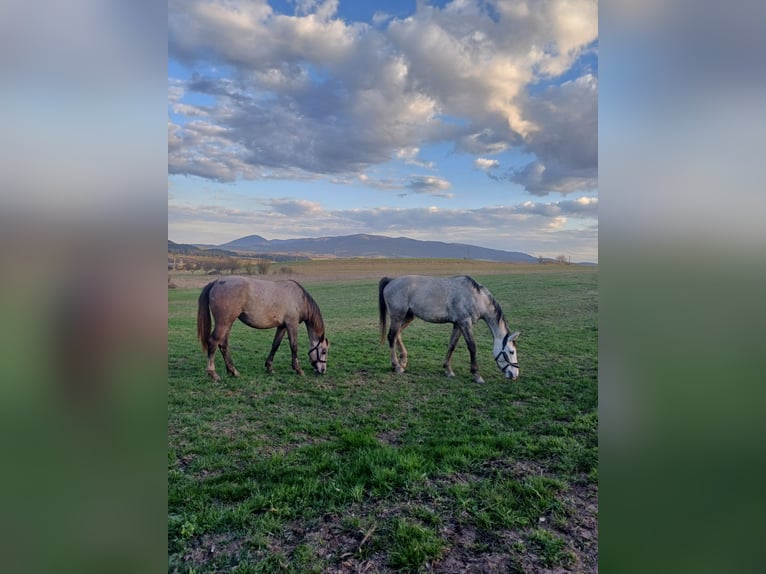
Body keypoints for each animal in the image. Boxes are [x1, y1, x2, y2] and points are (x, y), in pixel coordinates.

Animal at [197, 276, 329, 381]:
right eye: (324, 351)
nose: (323, 370)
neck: (299, 298)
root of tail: (217, 282)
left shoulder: (282, 326)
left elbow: (275, 345)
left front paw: (269, 367)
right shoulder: (292, 325)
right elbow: (294, 347)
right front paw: (298, 369)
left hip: (228, 323)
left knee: (223, 345)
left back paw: (233, 371)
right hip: (223, 323)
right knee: (213, 342)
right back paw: (213, 373)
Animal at [378, 275, 520, 383]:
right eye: (511, 351)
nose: (515, 374)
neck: (475, 297)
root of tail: (391, 280)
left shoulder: (458, 325)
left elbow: (452, 345)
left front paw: (448, 370)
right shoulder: (465, 323)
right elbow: (472, 347)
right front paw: (477, 375)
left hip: (408, 317)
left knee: (397, 334)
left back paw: (403, 361)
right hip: (398, 316)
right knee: (391, 337)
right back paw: (397, 366)